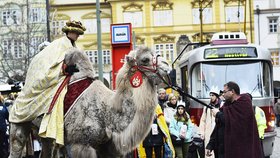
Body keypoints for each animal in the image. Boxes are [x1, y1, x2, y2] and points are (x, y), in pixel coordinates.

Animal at [8, 46, 170, 157]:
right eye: (145, 59)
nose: (167, 65)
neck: (107, 112)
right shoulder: (80, 143)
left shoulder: (106, 146)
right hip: (19, 121)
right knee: (17, 143)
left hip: (47, 133)